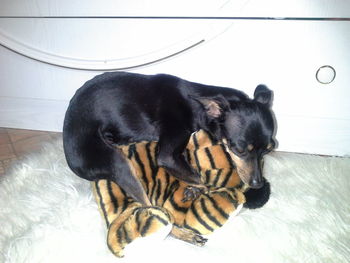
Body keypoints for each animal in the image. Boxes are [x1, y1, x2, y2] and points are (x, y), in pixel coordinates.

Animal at [63, 71, 276, 206]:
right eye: (239, 150)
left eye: (268, 149)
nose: (257, 184)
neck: (197, 106)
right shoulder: (167, 156)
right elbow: (202, 181)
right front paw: (200, 189)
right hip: (119, 163)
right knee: (152, 210)